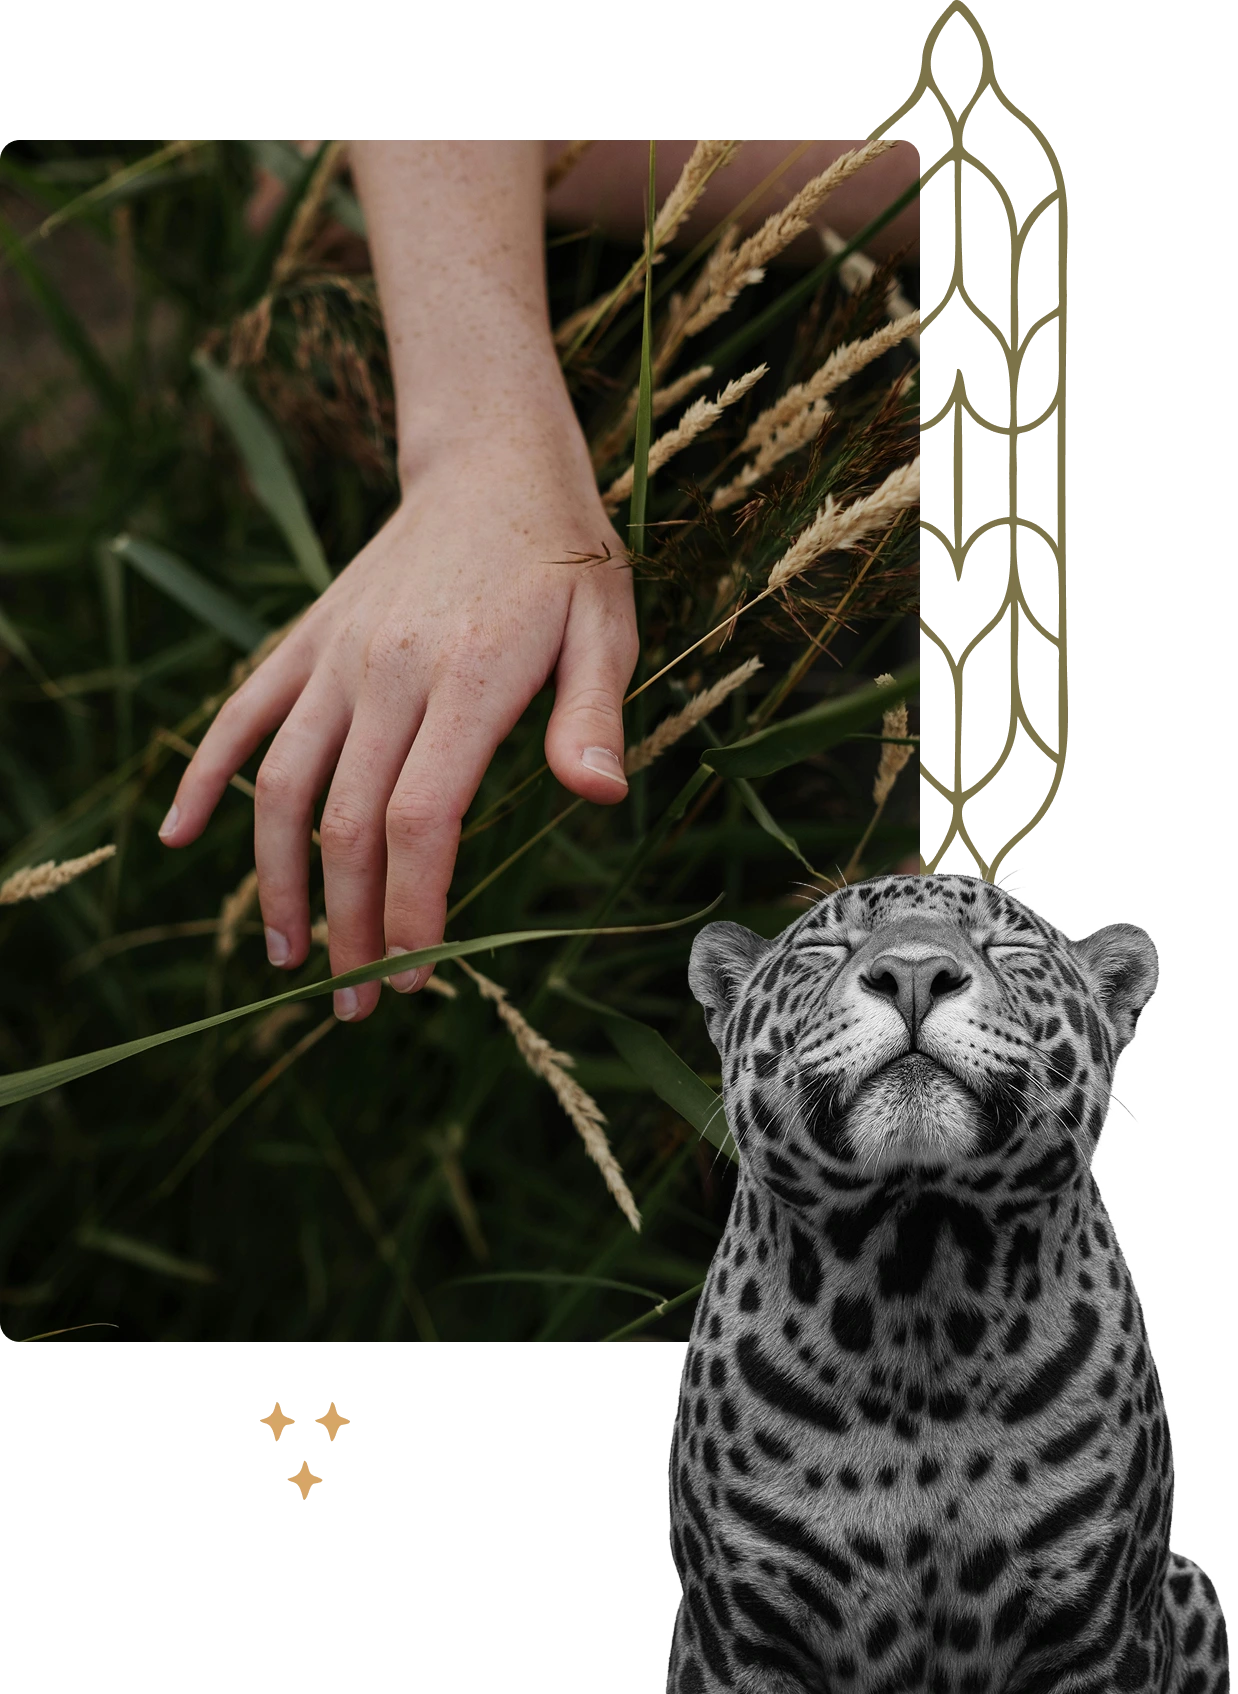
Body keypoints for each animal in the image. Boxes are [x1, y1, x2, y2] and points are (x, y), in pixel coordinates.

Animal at [666, 872, 1230, 1694]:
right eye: (825, 946)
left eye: (1010, 946)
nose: (912, 975)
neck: (915, 1284)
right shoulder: (735, 1633)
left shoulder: (1102, 1631)